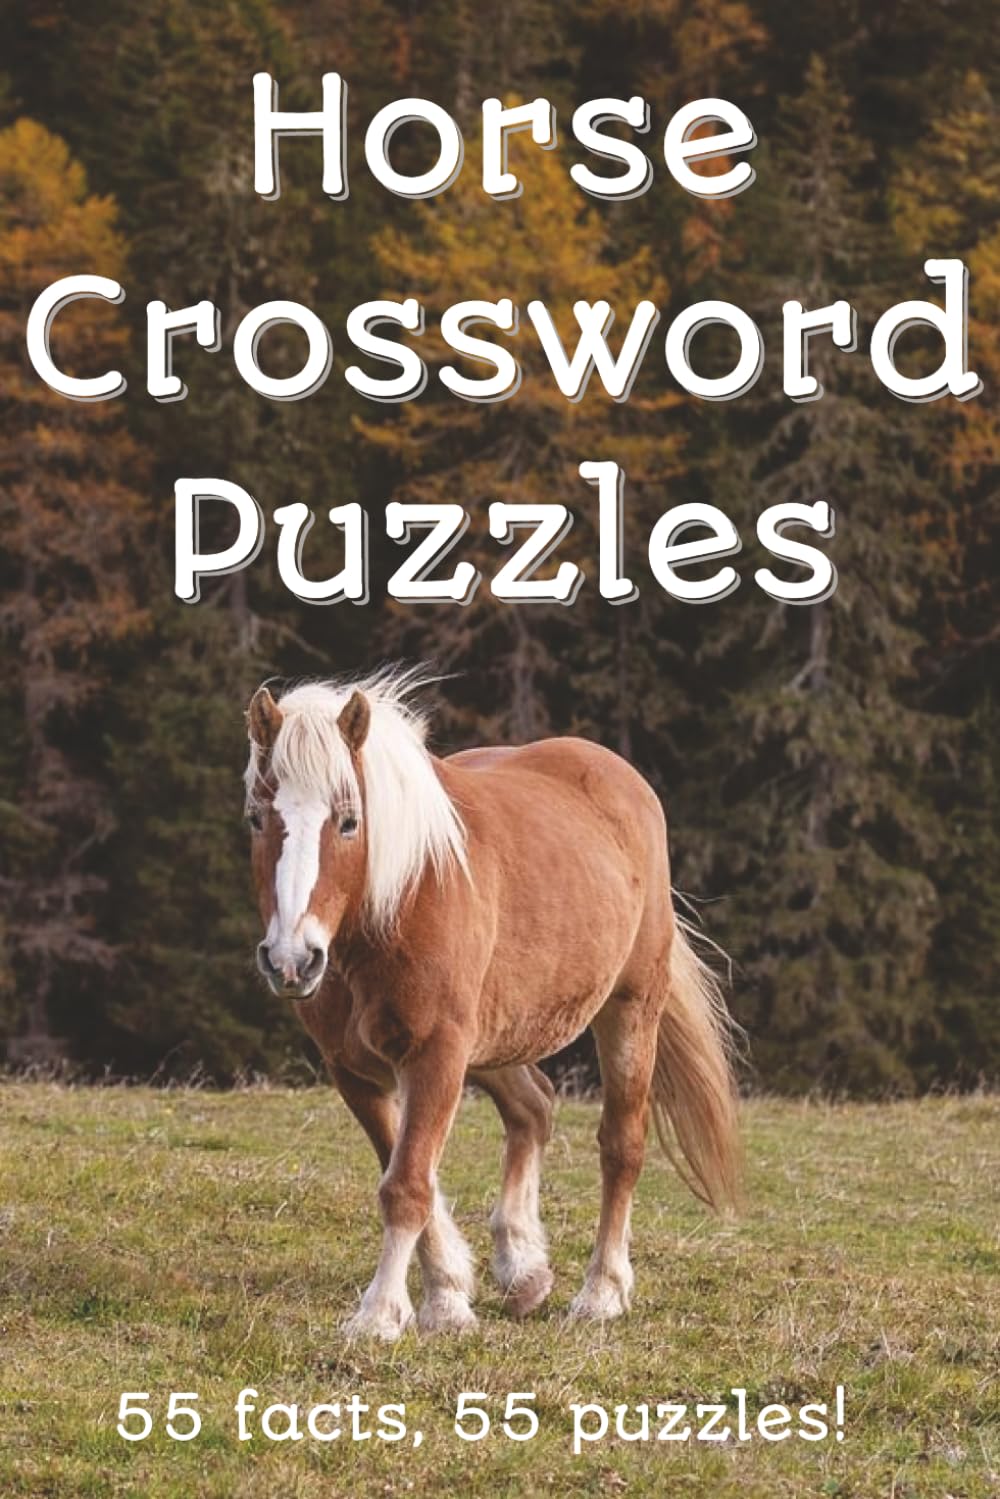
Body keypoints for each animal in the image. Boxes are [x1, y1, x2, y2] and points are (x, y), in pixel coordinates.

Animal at [243, 667, 741, 1340]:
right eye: (256, 818)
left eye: (347, 821)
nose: (292, 959)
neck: (400, 900)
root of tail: (620, 777)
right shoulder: (356, 1071)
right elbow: (411, 1174)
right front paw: (448, 1296)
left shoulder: (436, 1053)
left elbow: (407, 1184)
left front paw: (380, 1314)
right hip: (495, 1036)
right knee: (533, 1109)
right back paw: (524, 1267)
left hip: (629, 1009)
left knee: (621, 1144)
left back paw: (601, 1292)